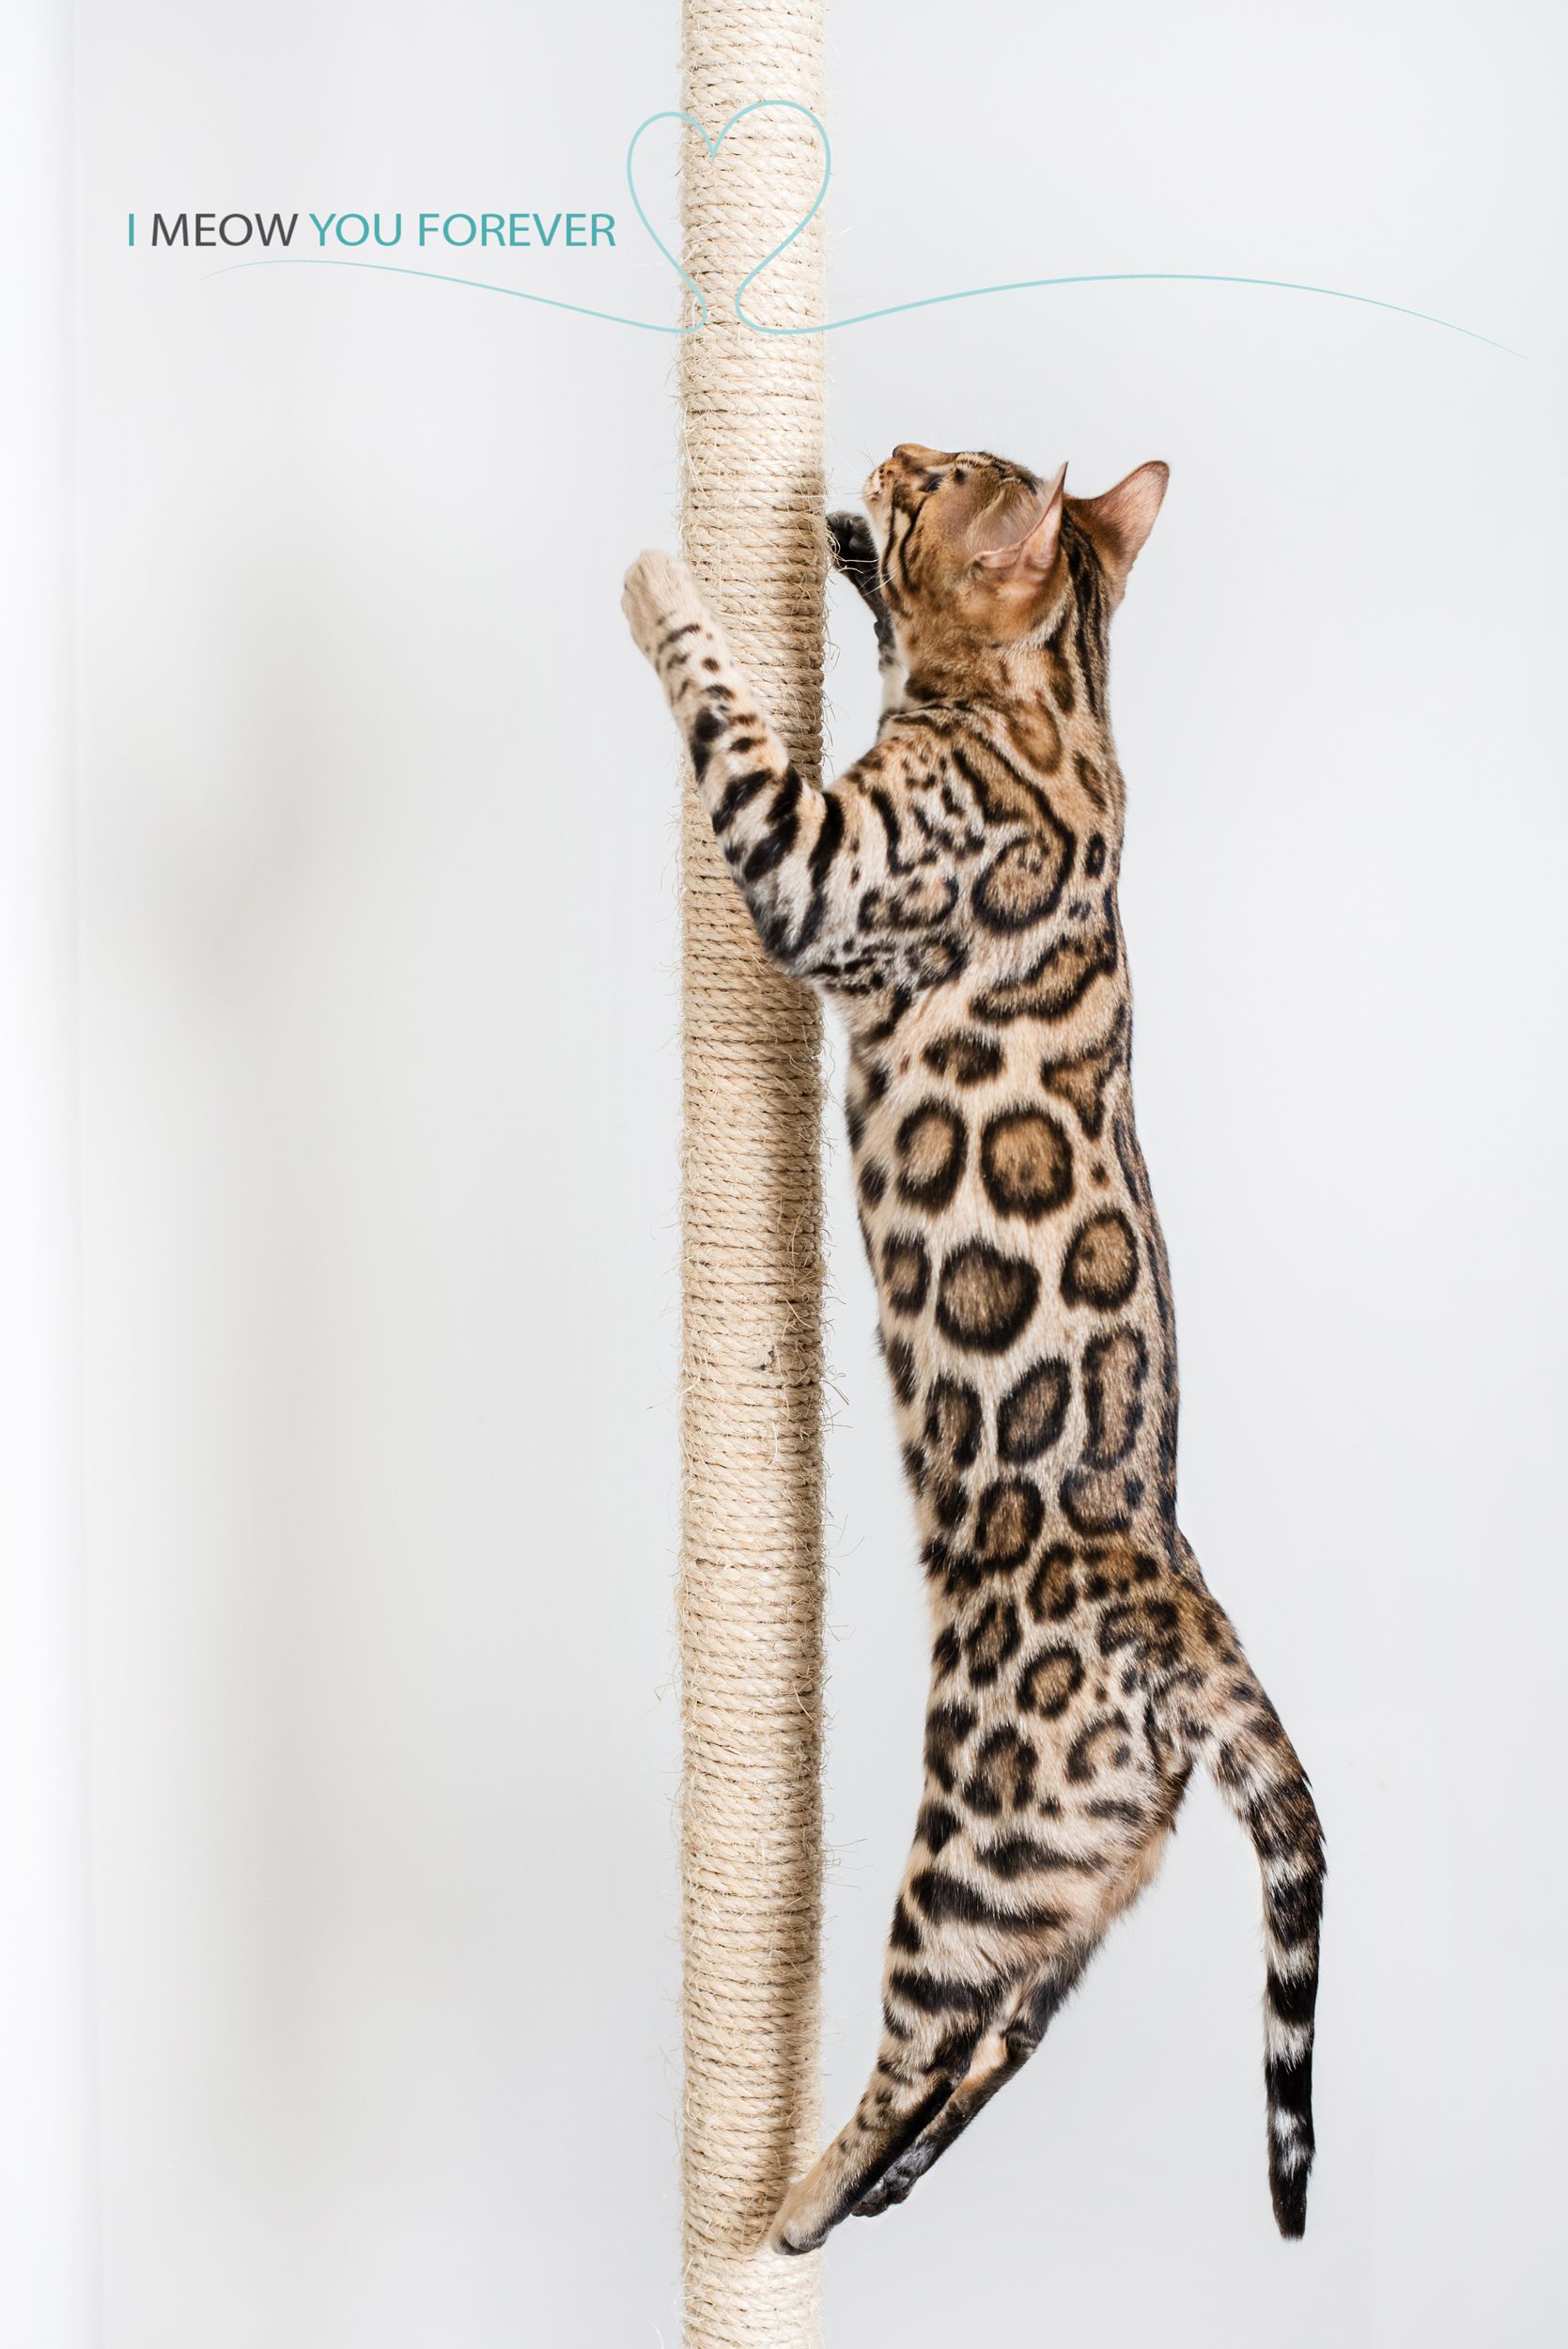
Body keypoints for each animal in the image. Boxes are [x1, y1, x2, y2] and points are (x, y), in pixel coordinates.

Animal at [619, 442, 1324, 2255]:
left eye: (934, 474)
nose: (876, 458)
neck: (1059, 702)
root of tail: (1187, 1628)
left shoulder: (820, 866)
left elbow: (727, 718)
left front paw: (673, 579)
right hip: (1071, 1884)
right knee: (1009, 2033)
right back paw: (858, 2199)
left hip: (979, 1839)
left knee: (930, 2031)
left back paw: (791, 2208)